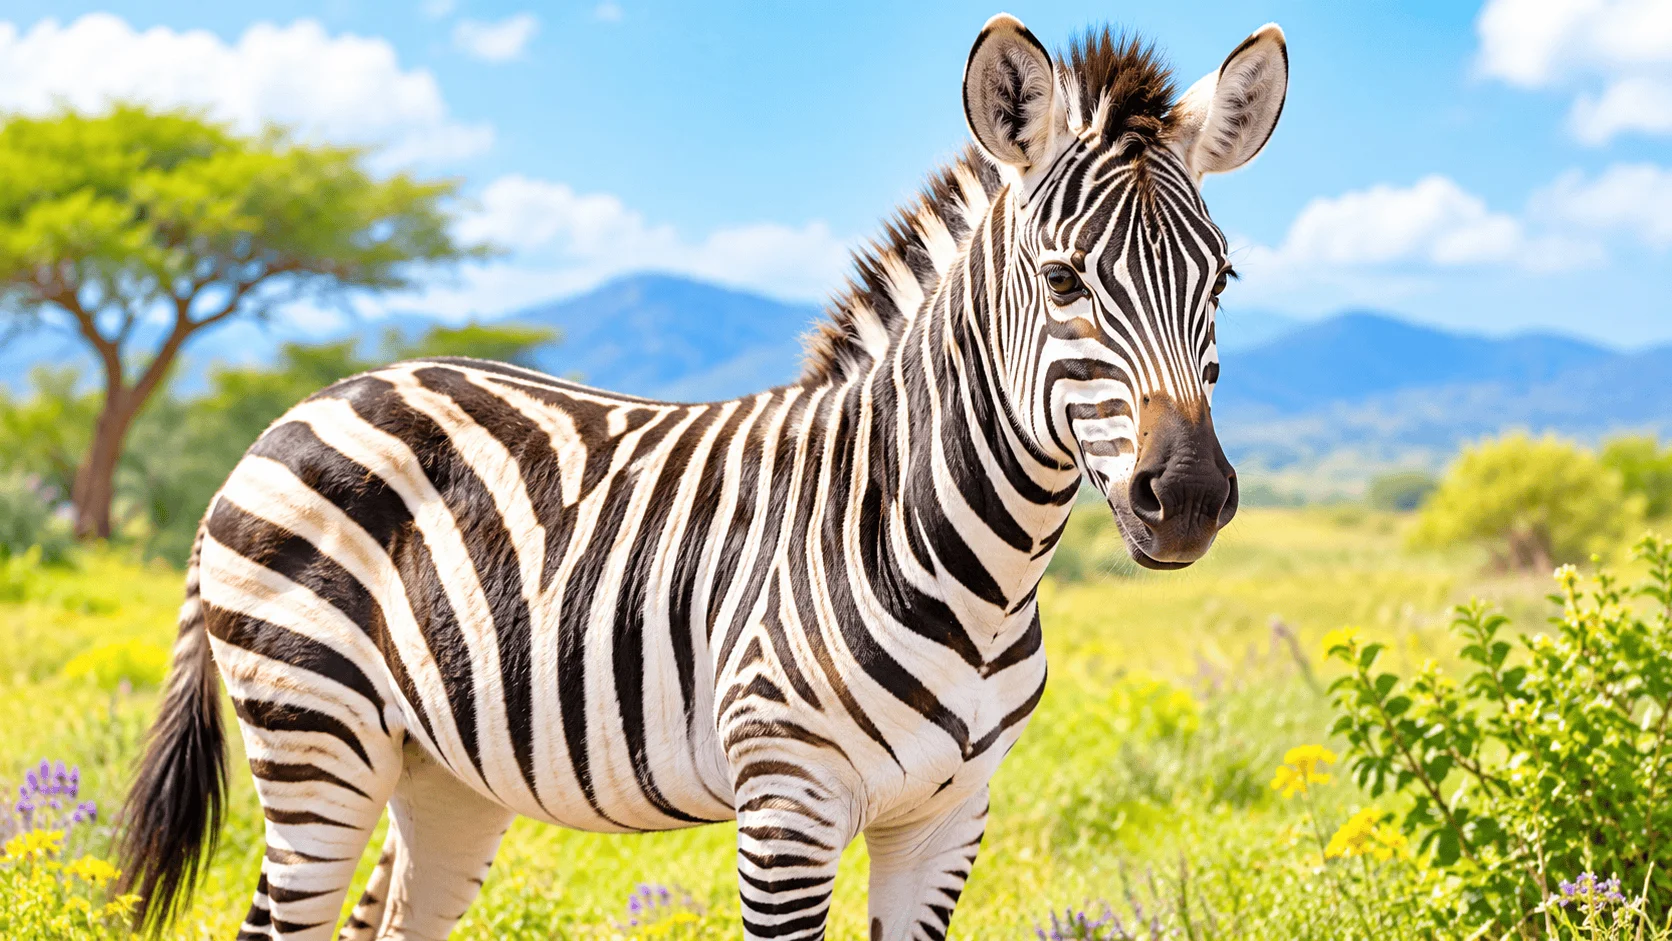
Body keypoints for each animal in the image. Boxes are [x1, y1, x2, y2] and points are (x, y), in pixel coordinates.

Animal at [116, 14, 1287, 941]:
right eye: (1063, 279)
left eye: (1223, 279)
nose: (1187, 497)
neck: (967, 565)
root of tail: (298, 409)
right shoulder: (787, 804)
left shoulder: (949, 817)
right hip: (313, 733)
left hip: (437, 768)